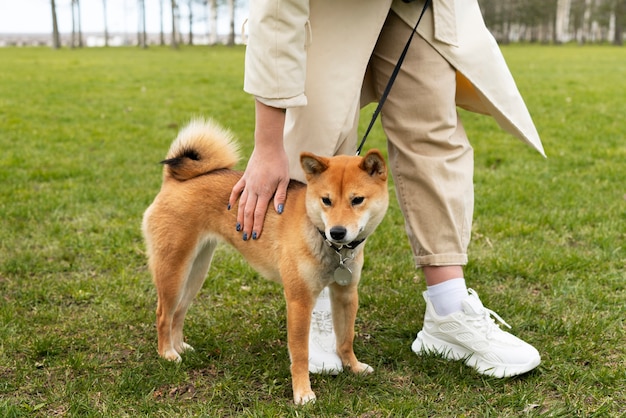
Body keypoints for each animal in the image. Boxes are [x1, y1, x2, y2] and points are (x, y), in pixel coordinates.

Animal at [142, 118, 388, 404]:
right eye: (326, 200)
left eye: (357, 200)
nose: (337, 232)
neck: (322, 238)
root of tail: (173, 182)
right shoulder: (299, 301)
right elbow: (300, 353)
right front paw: (302, 393)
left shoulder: (346, 293)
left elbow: (346, 338)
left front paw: (354, 366)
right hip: (174, 270)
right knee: (163, 313)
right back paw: (167, 353)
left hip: (196, 271)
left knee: (179, 312)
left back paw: (179, 345)